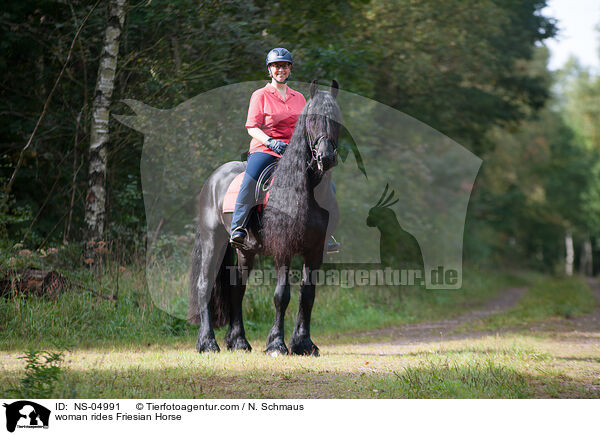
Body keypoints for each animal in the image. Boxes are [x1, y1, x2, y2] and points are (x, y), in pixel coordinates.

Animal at [188, 80, 340, 356]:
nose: (326, 157)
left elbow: (307, 295)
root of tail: (213, 179)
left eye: (336, 119)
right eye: (312, 118)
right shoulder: (284, 248)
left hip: (244, 250)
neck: (303, 190)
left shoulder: (315, 251)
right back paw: (208, 343)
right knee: (204, 285)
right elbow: (282, 295)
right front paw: (277, 344)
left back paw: (238, 341)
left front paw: (304, 343)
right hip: (212, 241)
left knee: (237, 289)